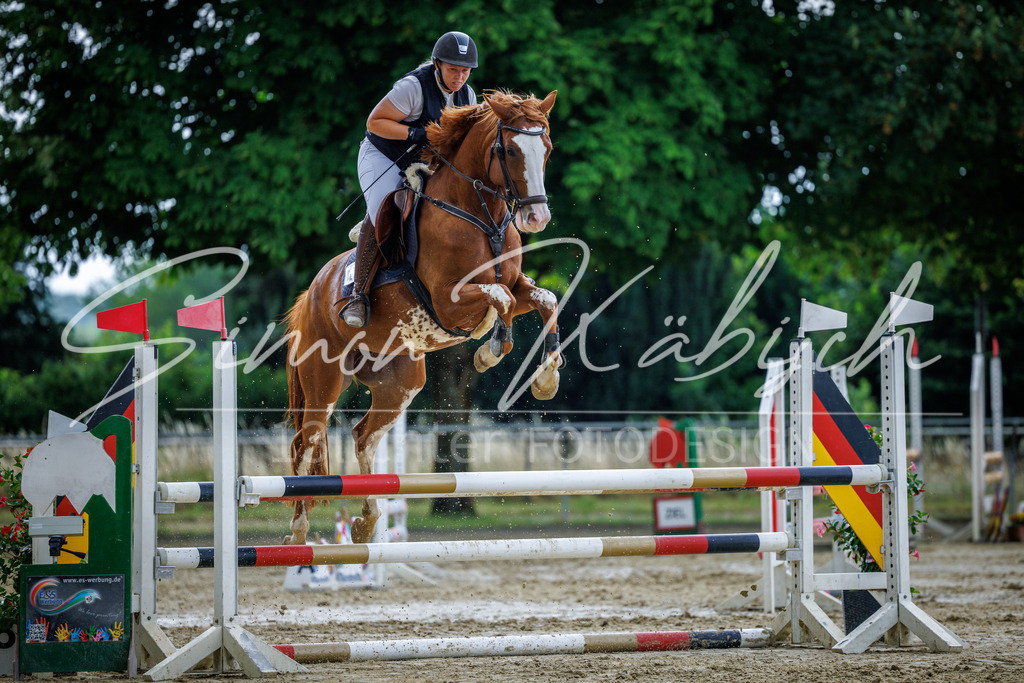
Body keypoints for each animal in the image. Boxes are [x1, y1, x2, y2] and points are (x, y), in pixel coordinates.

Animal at [283, 90, 561, 545]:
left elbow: (544, 299)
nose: (537, 219)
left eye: (547, 149)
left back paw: (367, 522)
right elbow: (498, 300)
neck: (480, 216)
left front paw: (546, 379)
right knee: (307, 443)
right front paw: (490, 350)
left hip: (400, 384)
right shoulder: (449, 301)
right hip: (322, 378)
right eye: (509, 150)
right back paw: (297, 531)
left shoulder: (518, 286)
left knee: (362, 437)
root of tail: (310, 295)